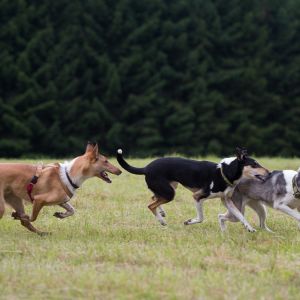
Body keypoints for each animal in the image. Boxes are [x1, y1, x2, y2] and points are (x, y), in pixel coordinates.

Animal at [116, 148, 268, 225]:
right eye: (254, 165)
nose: (268, 172)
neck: (224, 172)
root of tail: (146, 168)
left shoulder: (227, 200)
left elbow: (240, 216)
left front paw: (249, 228)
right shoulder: (198, 196)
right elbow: (200, 218)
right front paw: (189, 221)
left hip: (169, 188)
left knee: (153, 198)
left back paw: (162, 213)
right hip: (169, 193)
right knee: (150, 205)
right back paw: (162, 221)